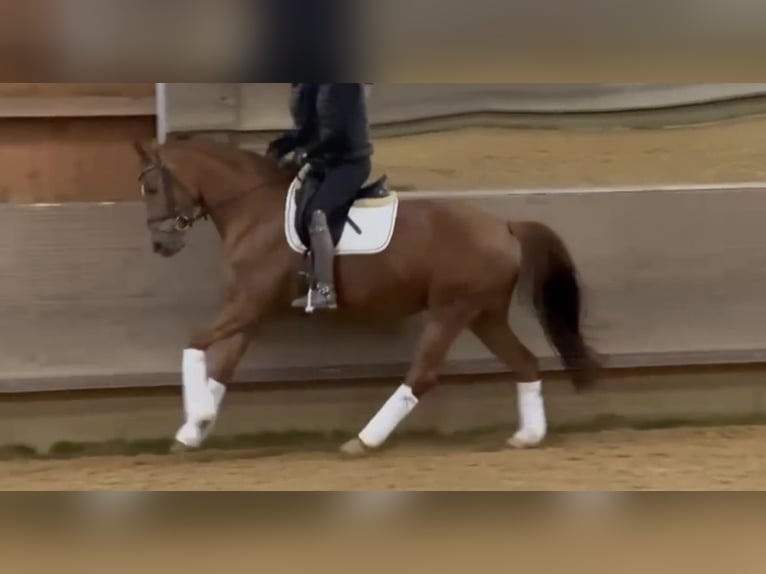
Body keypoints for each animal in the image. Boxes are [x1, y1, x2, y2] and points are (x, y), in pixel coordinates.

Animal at [133, 137, 600, 456]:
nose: (160, 244)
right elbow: (221, 371)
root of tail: (503, 226)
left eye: (152, 188)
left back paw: (364, 439)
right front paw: (193, 430)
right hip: (485, 314)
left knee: (423, 374)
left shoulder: (246, 306)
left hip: (451, 310)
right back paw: (527, 436)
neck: (254, 210)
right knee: (525, 362)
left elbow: (194, 342)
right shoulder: (252, 311)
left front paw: (196, 417)